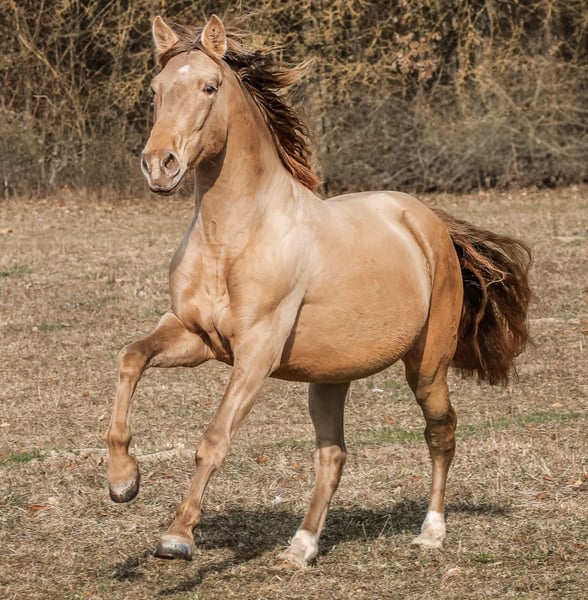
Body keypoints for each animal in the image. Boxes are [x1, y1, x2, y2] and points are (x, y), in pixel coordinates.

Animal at [104, 14, 531, 565]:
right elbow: (130, 358)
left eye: (209, 86)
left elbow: (214, 439)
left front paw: (177, 537)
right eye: (156, 89)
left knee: (442, 432)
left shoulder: (256, 352)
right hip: (330, 376)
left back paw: (431, 531)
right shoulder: (194, 336)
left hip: (427, 366)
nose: (160, 165)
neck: (233, 238)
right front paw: (122, 482)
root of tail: (426, 220)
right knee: (332, 455)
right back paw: (301, 547)